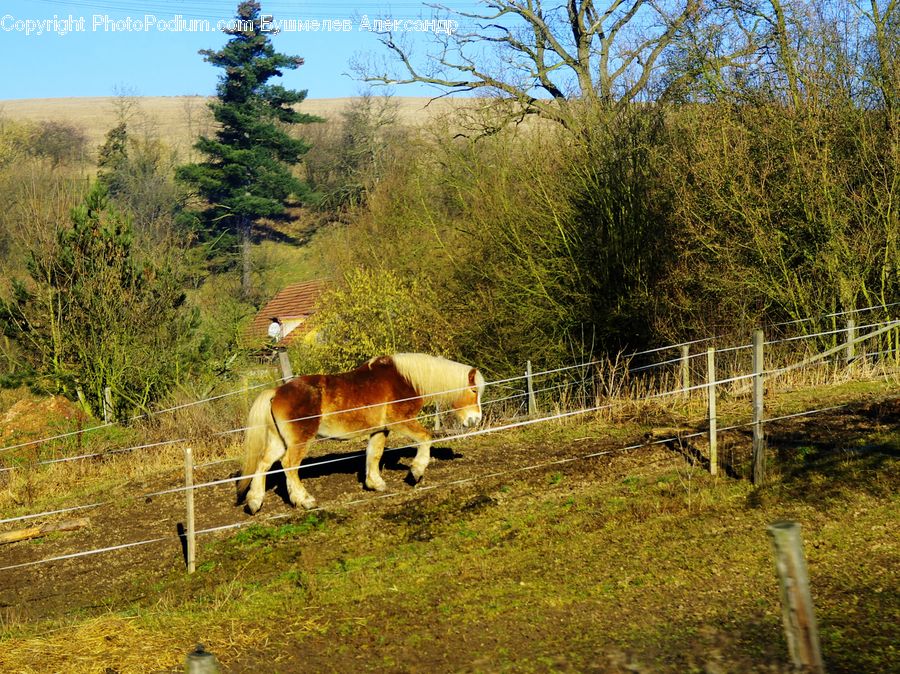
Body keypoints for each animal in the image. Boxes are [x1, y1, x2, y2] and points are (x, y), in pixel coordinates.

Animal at [236, 352, 482, 510]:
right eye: (473, 390)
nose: (475, 419)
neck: (405, 379)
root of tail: (276, 392)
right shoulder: (400, 422)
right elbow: (425, 438)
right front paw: (416, 472)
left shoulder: (380, 430)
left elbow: (374, 454)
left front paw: (376, 484)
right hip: (299, 441)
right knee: (289, 465)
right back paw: (304, 500)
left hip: (279, 441)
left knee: (263, 464)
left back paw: (254, 502)